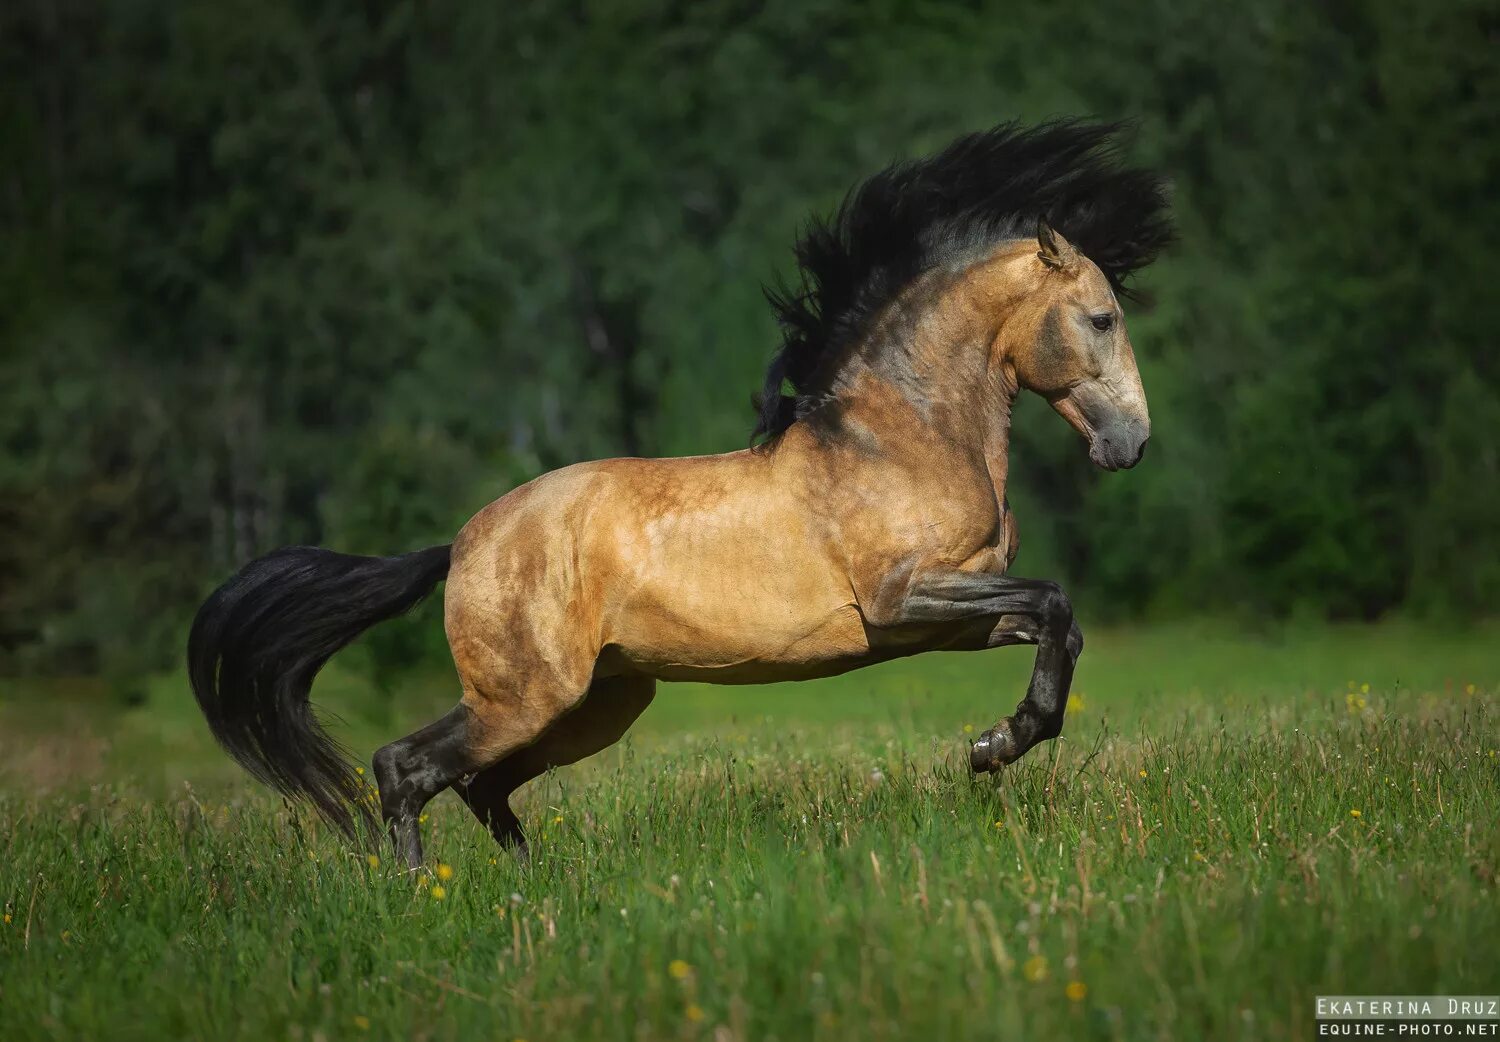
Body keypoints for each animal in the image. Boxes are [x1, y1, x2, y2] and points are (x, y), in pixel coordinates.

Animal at [184, 118, 1170, 869]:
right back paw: (420, 891)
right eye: (1101, 317)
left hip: (598, 704)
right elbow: (1055, 599)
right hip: (522, 700)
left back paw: (530, 890)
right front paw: (992, 747)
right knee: (405, 767)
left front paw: (1001, 742)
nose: (1130, 445)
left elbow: (1059, 623)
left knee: (480, 787)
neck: (898, 438)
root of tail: (462, 544)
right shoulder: (903, 600)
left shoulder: (945, 617)